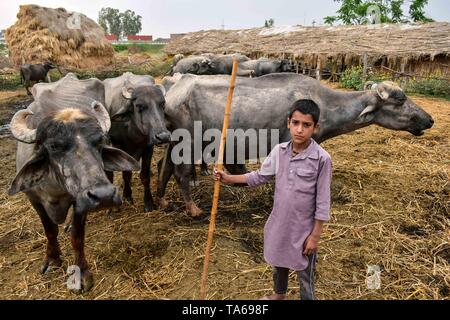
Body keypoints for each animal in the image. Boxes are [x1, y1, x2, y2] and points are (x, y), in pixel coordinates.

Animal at [7, 74, 141, 292]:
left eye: (100, 141)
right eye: (54, 146)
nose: (104, 195)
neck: (55, 188)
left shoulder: (80, 201)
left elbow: (77, 236)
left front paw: (81, 273)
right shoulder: (34, 199)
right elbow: (49, 230)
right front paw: (52, 260)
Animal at [103, 73, 171, 212]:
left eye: (162, 104)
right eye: (139, 105)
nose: (163, 136)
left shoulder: (148, 148)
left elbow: (145, 176)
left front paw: (149, 203)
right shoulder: (120, 147)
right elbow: (126, 174)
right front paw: (127, 196)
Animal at [156, 74, 432, 216]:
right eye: (400, 100)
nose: (429, 119)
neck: (325, 103)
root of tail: (173, 94)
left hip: (174, 142)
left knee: (163, 165)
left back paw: (161, 200)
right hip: (189, 142)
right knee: (180, 172)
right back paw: (192, 208)